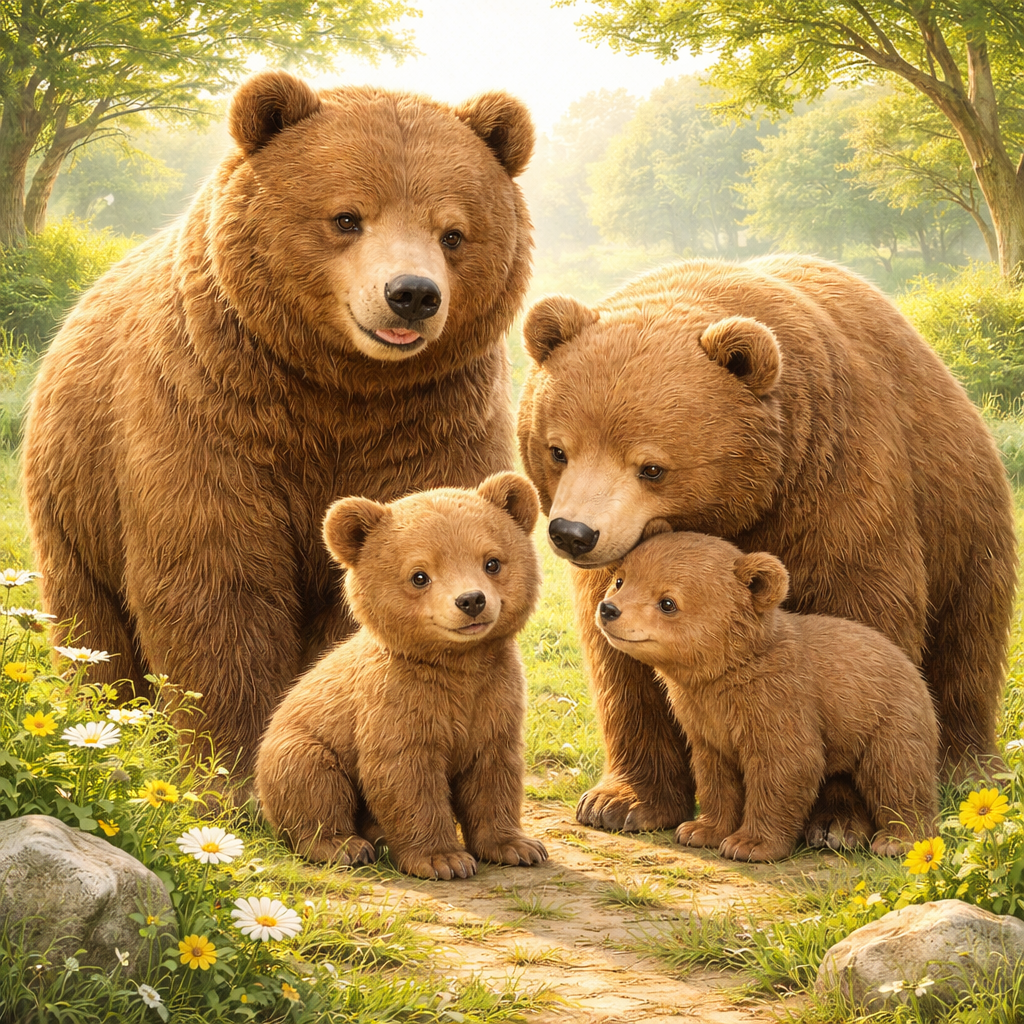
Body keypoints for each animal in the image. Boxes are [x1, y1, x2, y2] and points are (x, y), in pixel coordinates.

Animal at [23, 70, 535, 782]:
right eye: (347, 217)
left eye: (453, 232)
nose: (411, 293)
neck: (341, 389)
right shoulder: (214, 412)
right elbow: (216, 582)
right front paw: (234, 767)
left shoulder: (431, 425)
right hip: (76, 498)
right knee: (91, 629)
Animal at [254, 472, 548, 880]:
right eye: (419, 575)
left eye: (492, 562)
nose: (471, 600)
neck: (458, 664)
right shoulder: (397, 702)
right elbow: (406, 777)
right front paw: (444, 859)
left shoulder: (495, 698)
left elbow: (494, 773)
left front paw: (517, 846)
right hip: (296, 744)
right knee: (312, 780)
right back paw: (344, 845)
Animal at [596, 527, 939, 862]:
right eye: (621, 579)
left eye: (668, 602)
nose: (609, 609)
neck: (725, 671)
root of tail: (912, 667)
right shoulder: (704, 718)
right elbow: (715, 774)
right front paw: (699, 830)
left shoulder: (779, 699)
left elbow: (787, 766)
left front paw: (749, 844)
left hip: (889, 718)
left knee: (897, 775)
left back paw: (898, 840)